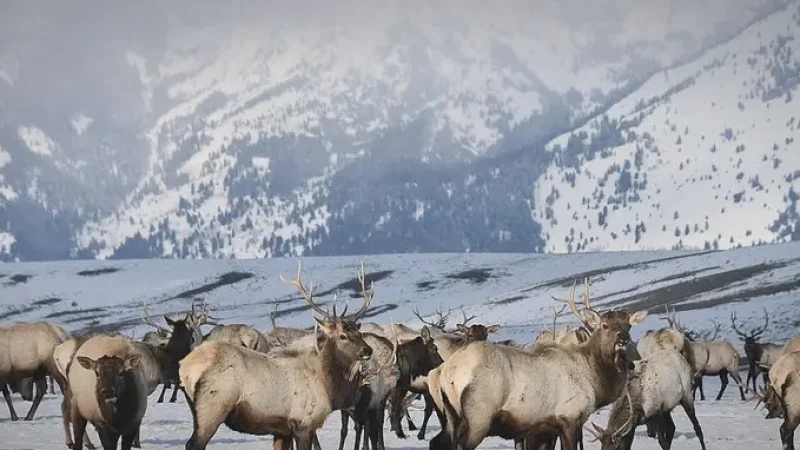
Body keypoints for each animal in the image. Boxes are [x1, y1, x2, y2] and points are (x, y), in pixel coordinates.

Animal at [178, 260, 375, 450]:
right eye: (342, 336)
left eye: (359, 333)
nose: (368, 350)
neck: (328, 385)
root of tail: (184, 366)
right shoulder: (303, 423)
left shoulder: (282, 430)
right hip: (212, 406)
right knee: (193, 444)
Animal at [426, 278, 648, 450]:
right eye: (604, 325)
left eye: (627, 324)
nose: (624, 338)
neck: (595, 380)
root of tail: (448, 372)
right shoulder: (569, 418)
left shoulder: (543, 429)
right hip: (478, 415)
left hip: (451, 416)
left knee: (437, 442)